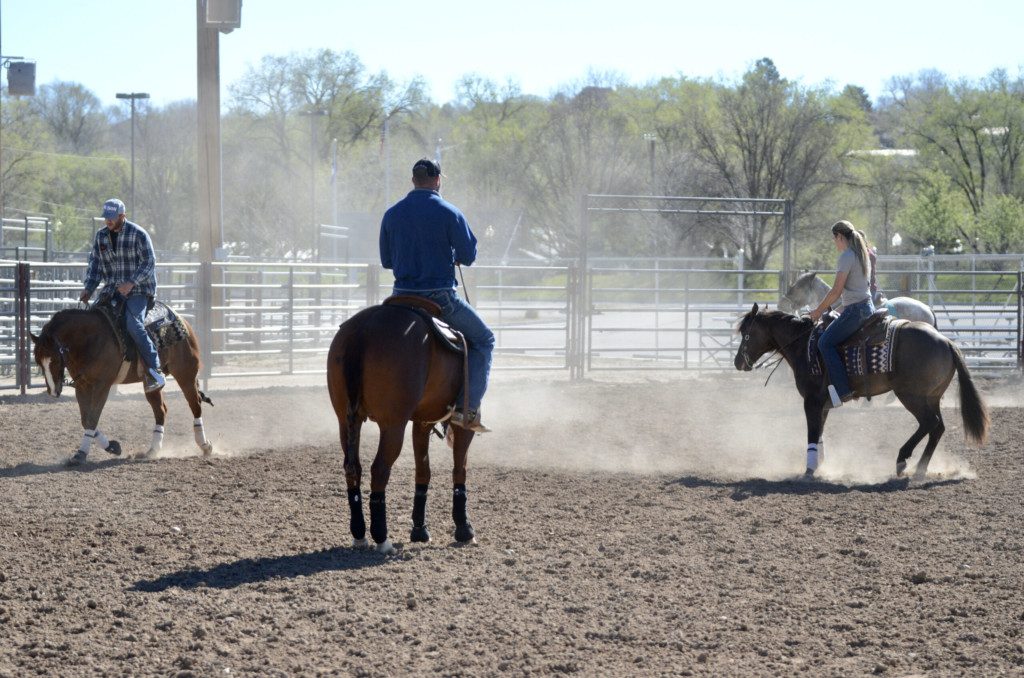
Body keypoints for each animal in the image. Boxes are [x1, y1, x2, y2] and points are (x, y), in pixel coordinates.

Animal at [30, 307, 214, 467]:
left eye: (55, 359)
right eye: (38, 361)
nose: (53, 391)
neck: (90, 339)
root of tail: (182, 320)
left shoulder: (102, 385)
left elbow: (92, 417)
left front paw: (82, 454)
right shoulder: (82, 386)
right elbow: (86, 419)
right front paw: (111, 446)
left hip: (185, 374)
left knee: (195, 405)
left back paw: (205, 446)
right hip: (151, 384)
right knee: (161, 411)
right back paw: (152, 451)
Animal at [327, 301, 479, 557]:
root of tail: (363, 329)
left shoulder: (422, 422)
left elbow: (423, 470)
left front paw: (420, 530)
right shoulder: (463, 424)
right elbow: (460, 468)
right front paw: (464, 528)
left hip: (345, 422)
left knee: (353, 469)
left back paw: (359, 535)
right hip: (392, 425)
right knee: (379, 469)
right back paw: (382, 538)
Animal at [733, 305, 987, 481]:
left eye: (745, 333)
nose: (737, 362)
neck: (804, 345)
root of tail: (947, 342)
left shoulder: (811, 401)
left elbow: (812, 433)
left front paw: (809, 470)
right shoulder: (822, 404)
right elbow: (820, 431)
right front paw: (820, 466)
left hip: (911, 396)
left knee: (929, 423)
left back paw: (902, 460)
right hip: (931, 397)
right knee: (938, 427)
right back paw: (920, 469)